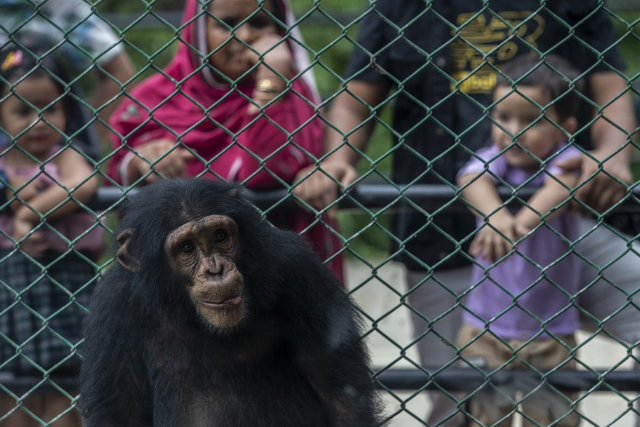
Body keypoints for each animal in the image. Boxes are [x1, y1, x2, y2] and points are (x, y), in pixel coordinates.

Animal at [77, 180, 382, 427]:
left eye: (221, 236)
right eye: (186, 248)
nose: (216, 270)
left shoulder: (300, 270)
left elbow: (340, 397)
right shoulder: (112, 304)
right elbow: (121, 412)